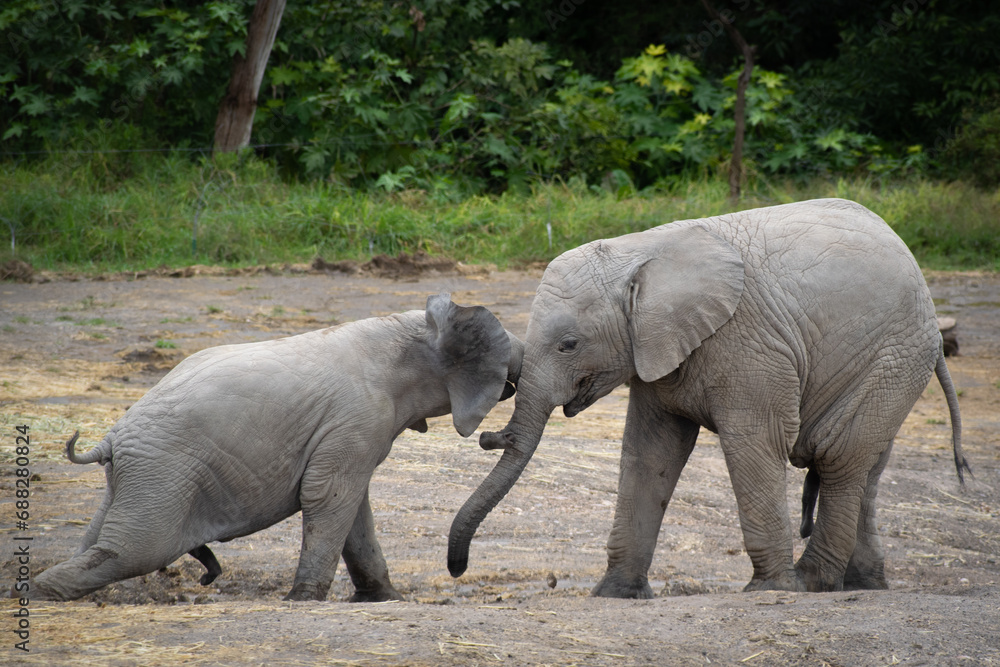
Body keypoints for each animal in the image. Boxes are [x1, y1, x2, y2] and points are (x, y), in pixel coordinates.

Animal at [27, 294, 523, 602]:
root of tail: (110, 438)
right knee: (134, 551)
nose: (493, 437)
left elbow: (353, 504)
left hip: (134, 482)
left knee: (100, 544)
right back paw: (33, 595)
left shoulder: (350, 430)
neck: (410, 327)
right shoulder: (358, 416)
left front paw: (385, 599)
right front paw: (303, 600)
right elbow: (331, 495)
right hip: (162, 475)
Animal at [447, 198, 968, 596]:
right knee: (868, 465)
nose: (458, 568)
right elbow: (651, 453)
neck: (640, 253)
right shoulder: (657, 349)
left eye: (569, 345)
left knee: (838, 457)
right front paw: (615, 594)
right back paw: (861, 585)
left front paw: (769, 590)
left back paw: (810, 584)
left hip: (894, 355)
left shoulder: (751, 345)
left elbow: (755, 443)